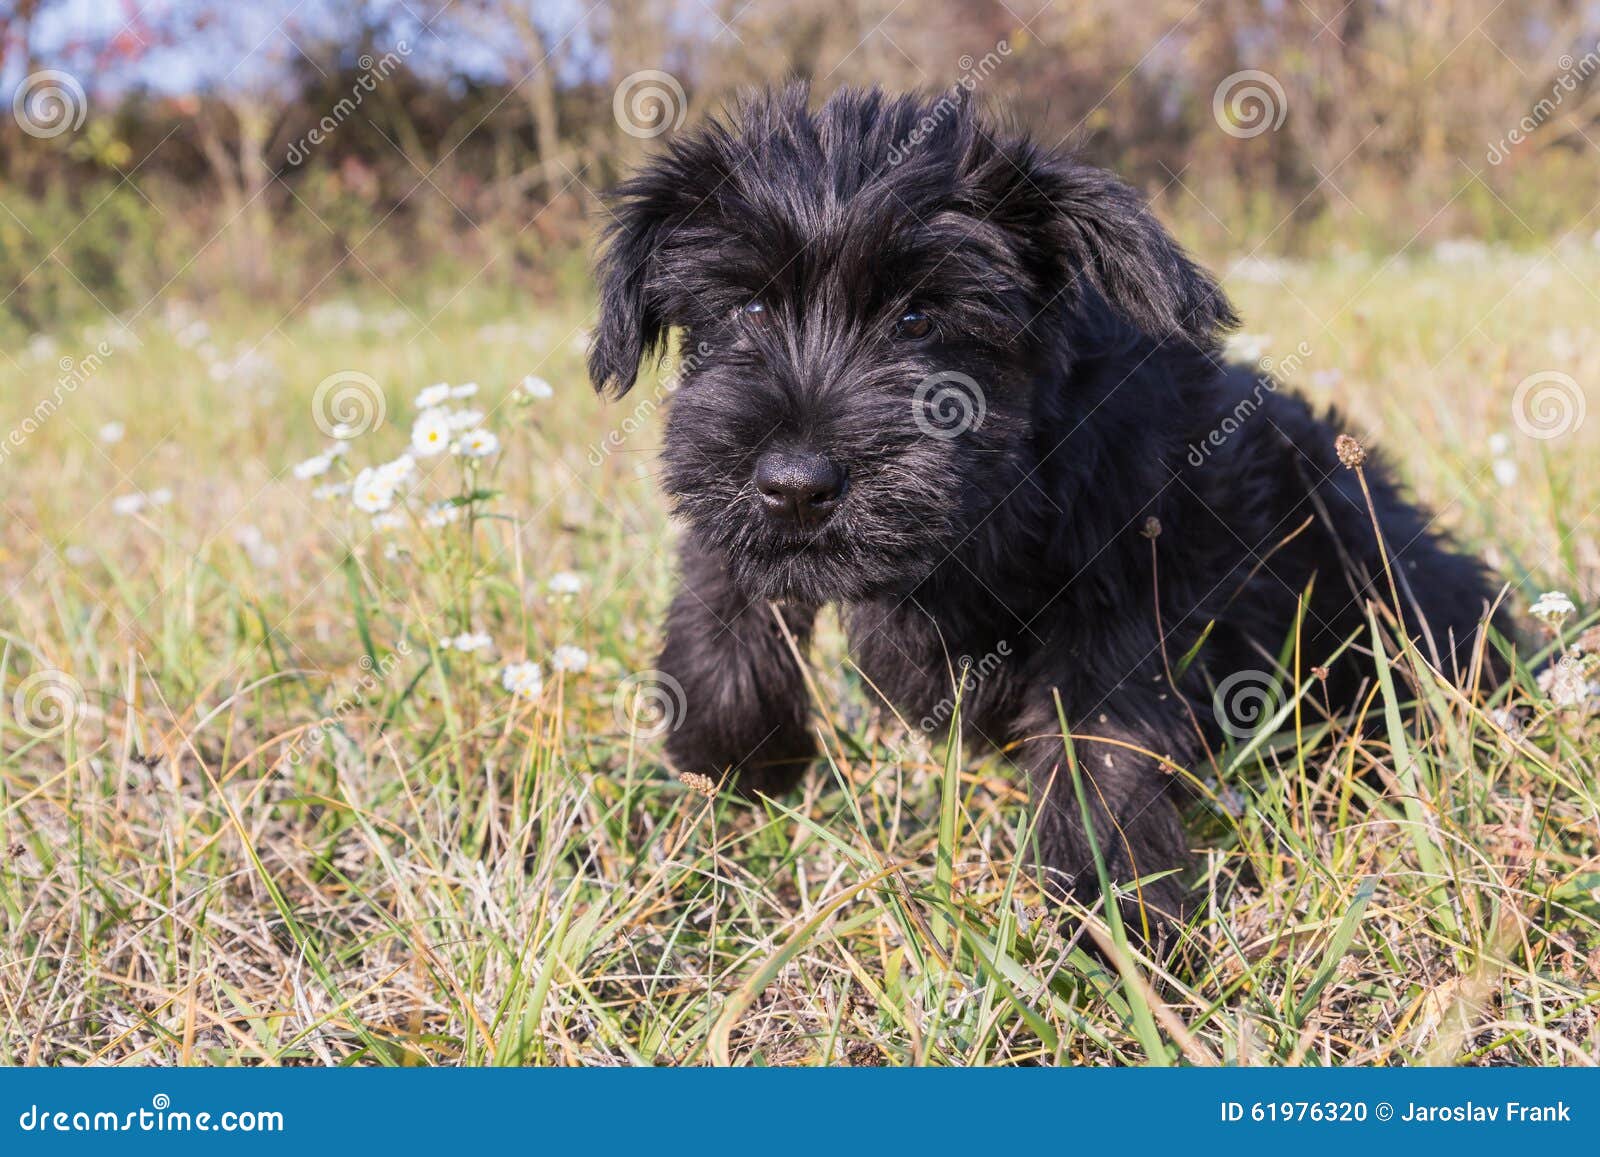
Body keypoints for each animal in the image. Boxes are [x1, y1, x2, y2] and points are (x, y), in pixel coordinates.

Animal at [585, 86, 1497, 934]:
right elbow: (724, 586)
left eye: (920, 318)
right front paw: (728, 756)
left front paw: (1118, 930)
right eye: (748, 308)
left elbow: (1101, 764)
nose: (797, 483)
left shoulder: (1116, 606)